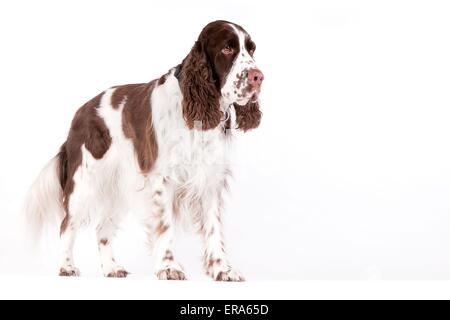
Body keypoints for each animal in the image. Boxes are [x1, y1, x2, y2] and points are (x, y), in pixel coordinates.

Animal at [23, 20, 264, 282]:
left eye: (251, 49)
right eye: (227, 49)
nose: (258, 77)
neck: (195, 112)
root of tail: (80, 113)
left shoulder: (210, 179)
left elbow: (214, 229)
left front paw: (222, 269)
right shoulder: (162, 179)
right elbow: (165, 226)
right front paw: (169, 267)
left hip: (117, 190)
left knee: (102, 230)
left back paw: (111, 268)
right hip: (84, 183)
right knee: (67, 225)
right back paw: (66, 266)